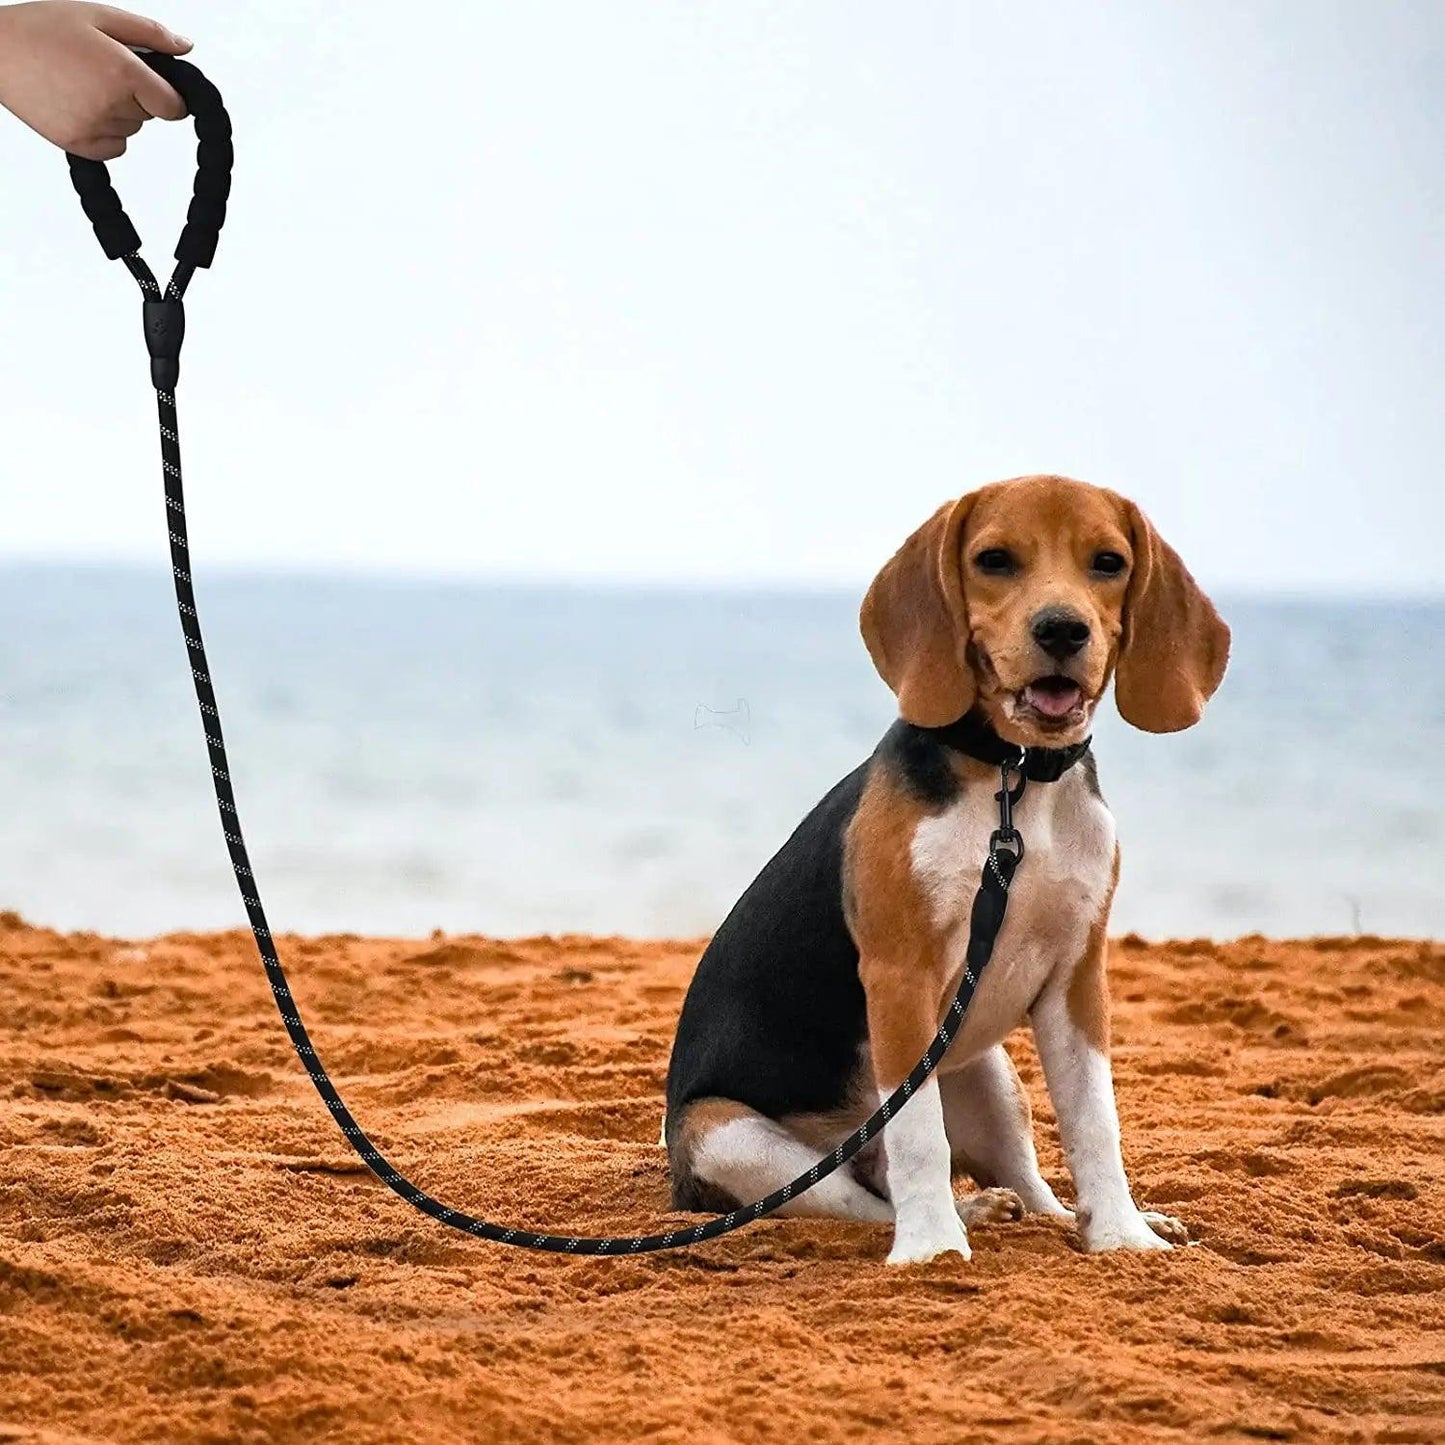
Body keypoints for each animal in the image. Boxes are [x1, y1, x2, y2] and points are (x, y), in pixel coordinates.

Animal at [661, 473, 1225, 1265]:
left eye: (1108, 563)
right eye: (994, 560)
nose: (1062, 630)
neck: (1015, 782)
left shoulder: (1078, 976)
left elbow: (1095, 1121)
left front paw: (1123, 1234)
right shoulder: (900, 978)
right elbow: (920, 1137)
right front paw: (930, 1248)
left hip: (983, 1069)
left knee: (1027, 1183)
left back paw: (1046, 1212)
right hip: (731, 1135)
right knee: (864, 1197)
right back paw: (955, 1215)